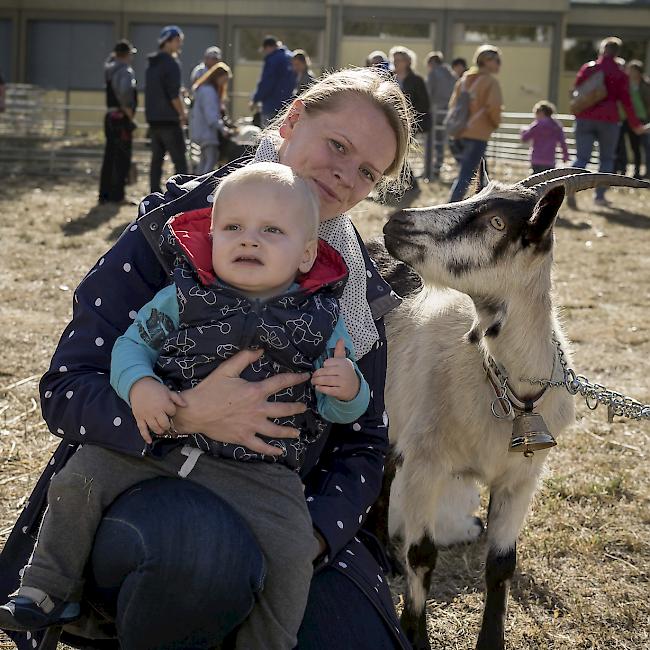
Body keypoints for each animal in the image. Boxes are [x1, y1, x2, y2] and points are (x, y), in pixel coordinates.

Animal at [370, 166, 648, 648]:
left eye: (497, 222)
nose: (397, 222)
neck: (507, 389)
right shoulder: (426, 463)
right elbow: (422, 555)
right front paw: (413, 633)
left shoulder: (521, 476)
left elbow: (501, 565)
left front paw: (491, 641)